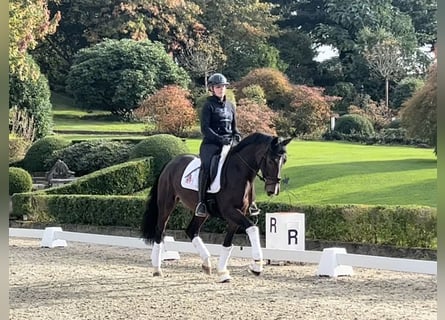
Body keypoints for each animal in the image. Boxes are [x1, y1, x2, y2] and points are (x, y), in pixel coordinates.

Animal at [140, 131, 292, 282]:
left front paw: (223, 273)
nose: (273, 190)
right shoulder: (230, 211)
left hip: (202, 212)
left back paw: (206, 264)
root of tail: (171, 163)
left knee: (191, 230)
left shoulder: (237, 214)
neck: (239, 171)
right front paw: (256, 266)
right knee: (160, 230)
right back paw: (157, 269)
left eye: (284, 160)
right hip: (167, 204)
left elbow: (227, 243)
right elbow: (252, 228)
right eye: (271, 160)